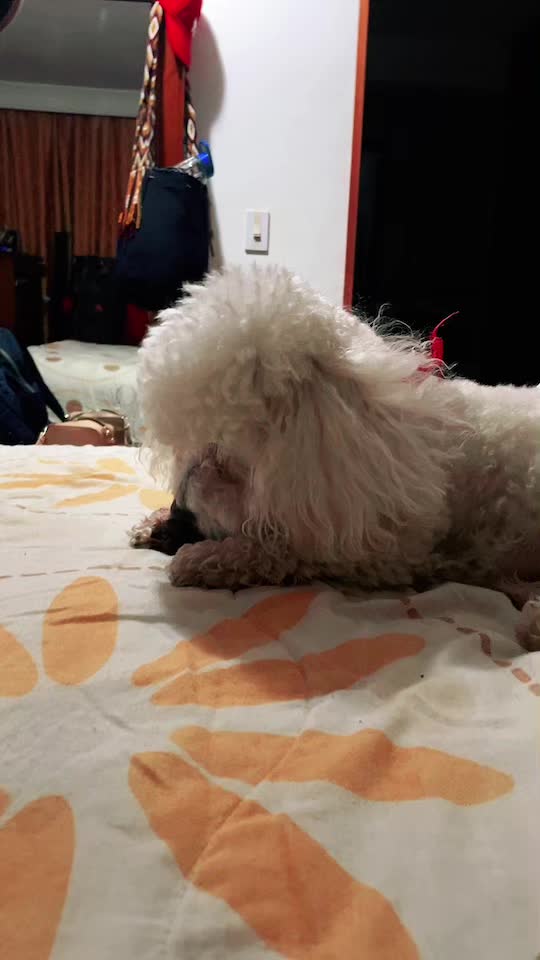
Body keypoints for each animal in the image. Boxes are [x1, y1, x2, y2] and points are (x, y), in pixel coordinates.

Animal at [131, 266, 540, 643]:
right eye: (185, 446)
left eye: (221, 456)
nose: (176, 516)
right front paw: (155, 523)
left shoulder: (386, 551)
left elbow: (282, 551)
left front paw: (203, 558)